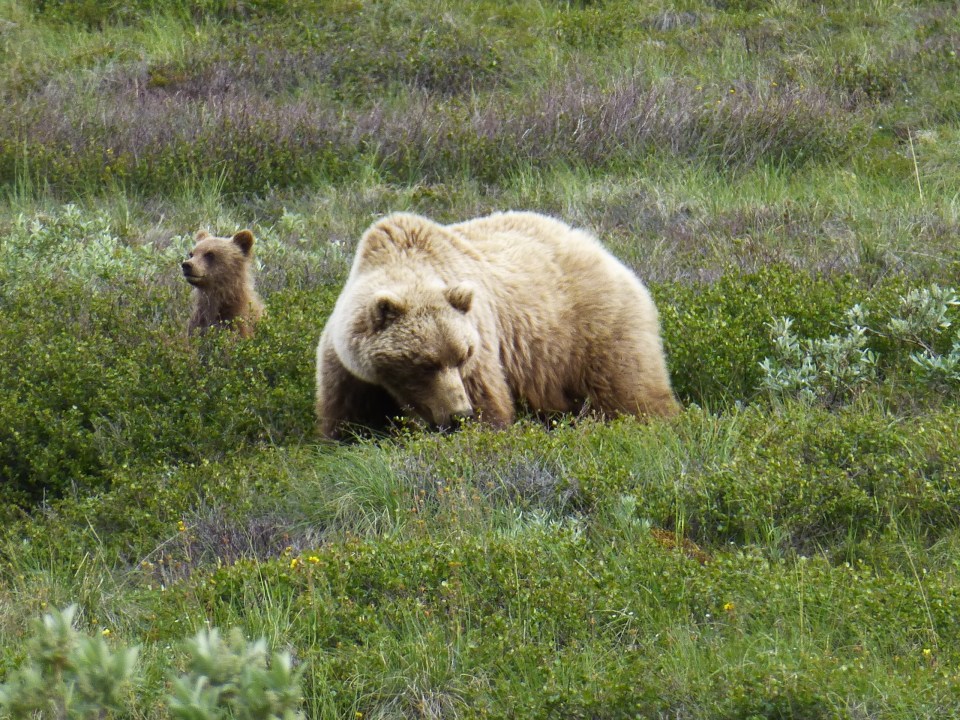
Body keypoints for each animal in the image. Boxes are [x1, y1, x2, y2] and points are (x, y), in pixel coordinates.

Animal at [314, 211, 680, 439]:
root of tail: (603, 251)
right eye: (426, 364)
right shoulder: (349, 369)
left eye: (461, 355)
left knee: (630, 389)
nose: (460, 413)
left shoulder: (481, 344)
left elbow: (490, 406)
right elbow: (347, 419)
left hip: (592, 330)